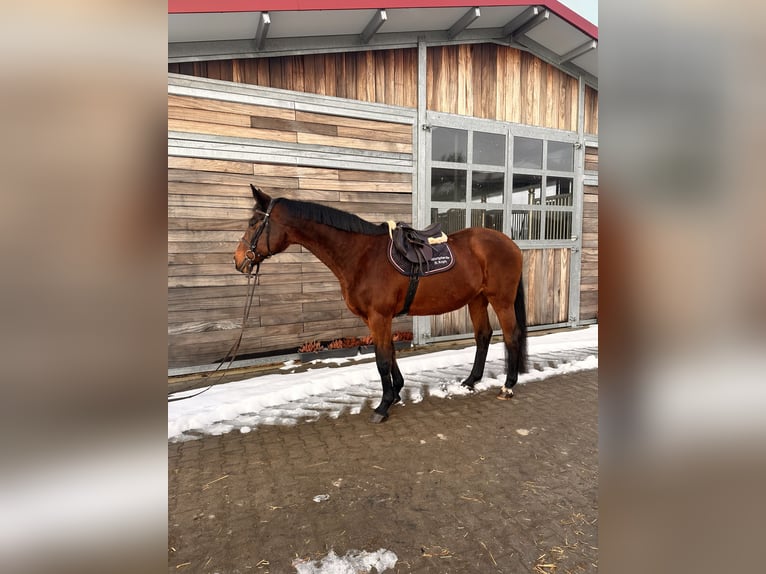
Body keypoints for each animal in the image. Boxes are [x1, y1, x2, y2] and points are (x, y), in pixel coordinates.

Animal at [234, 185, 527, 423]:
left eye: (253, 222)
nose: (238, 260)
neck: (362, 256)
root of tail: (510, 244)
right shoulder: (374, 319)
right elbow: (390, 354)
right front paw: (396, 392)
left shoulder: (379, 316)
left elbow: (382, 360)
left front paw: (383, 405)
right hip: (477, 299)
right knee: (483, 336)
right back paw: (470, 381)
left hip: (500, 300)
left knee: (511, 336)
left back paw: (508, 386)